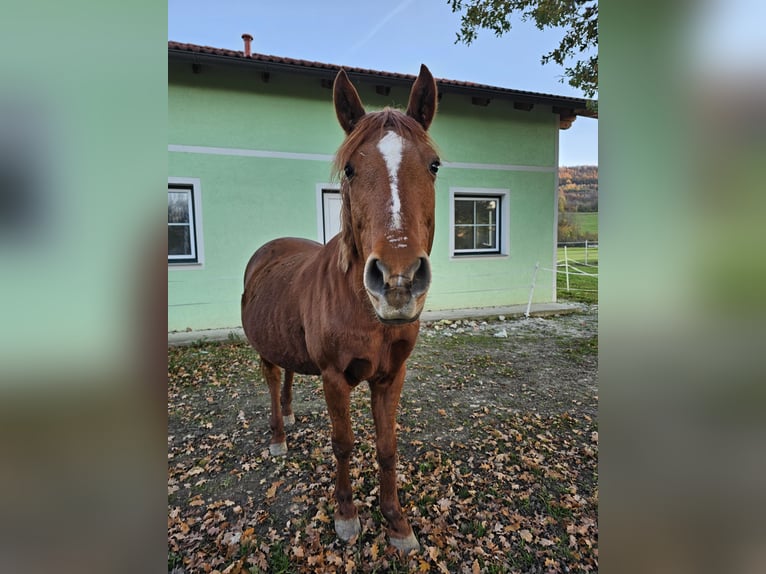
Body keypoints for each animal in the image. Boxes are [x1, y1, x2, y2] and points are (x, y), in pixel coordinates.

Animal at [241, 65, 439, 553]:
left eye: (433, 165)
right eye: (349, 168)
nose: (398, 281)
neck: (365, 313)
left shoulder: (391, 376)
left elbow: (387, 447)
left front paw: (396, 522)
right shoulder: (334, 377)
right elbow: (344, 443)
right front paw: (347, 516)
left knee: (288, 373)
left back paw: (291, 414)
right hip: (264, 350)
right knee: (271, 379)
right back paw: (278, 435)